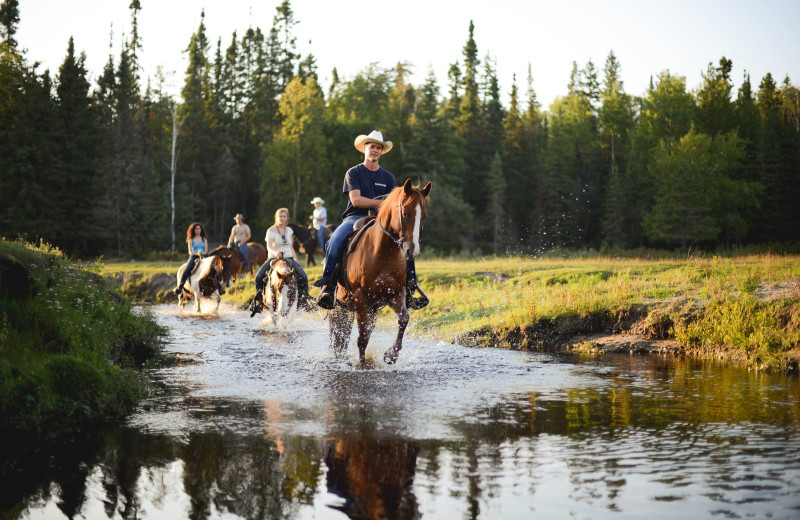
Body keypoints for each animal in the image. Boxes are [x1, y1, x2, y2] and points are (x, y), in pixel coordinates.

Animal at [330, 179, 434, 366]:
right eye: (405, 213)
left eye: (424, 216)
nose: (412, 251)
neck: (382, 253)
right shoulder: (361, 298)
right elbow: (362, 338)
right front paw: (362, 365)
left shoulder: (395, 294)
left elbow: (403, 318)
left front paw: (391, 355)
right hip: (338, 306)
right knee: (337, 333)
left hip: (368, 309)